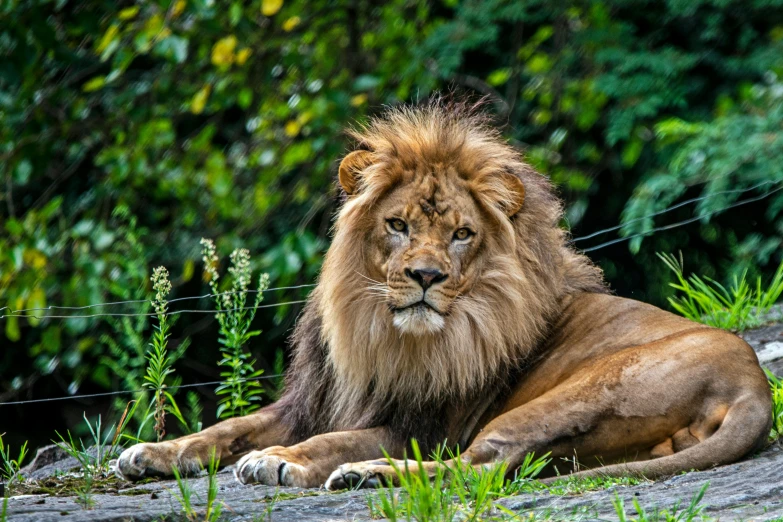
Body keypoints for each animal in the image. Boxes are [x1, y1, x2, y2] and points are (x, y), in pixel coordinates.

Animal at [116, 100, 772, 488]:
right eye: (397, 225)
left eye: (461, 234)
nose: (426, 277)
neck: (374, 331)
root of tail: (754, 387)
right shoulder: (312, 400)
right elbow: (229, 426)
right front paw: (150, 452)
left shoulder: (420, 423)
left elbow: (331, 438)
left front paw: (281, 460)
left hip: (571, 396)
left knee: (480, 468)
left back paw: (366, 473)